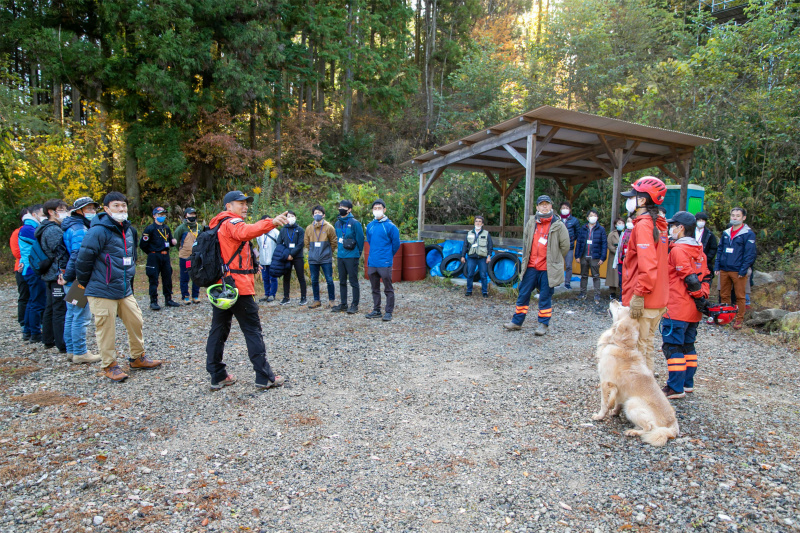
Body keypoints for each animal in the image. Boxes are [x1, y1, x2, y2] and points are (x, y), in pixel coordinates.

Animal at [592, 300, 680, 444]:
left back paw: (632, 432)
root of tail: (673, 426)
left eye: (620, 308)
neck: (622, 345)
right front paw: (615, 412)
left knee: (649, 427)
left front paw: (599, 416)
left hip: (632, 403)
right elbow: (617, 402)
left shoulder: (605, 382)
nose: (614, 299)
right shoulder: (619, 389)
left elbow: (604, 403)